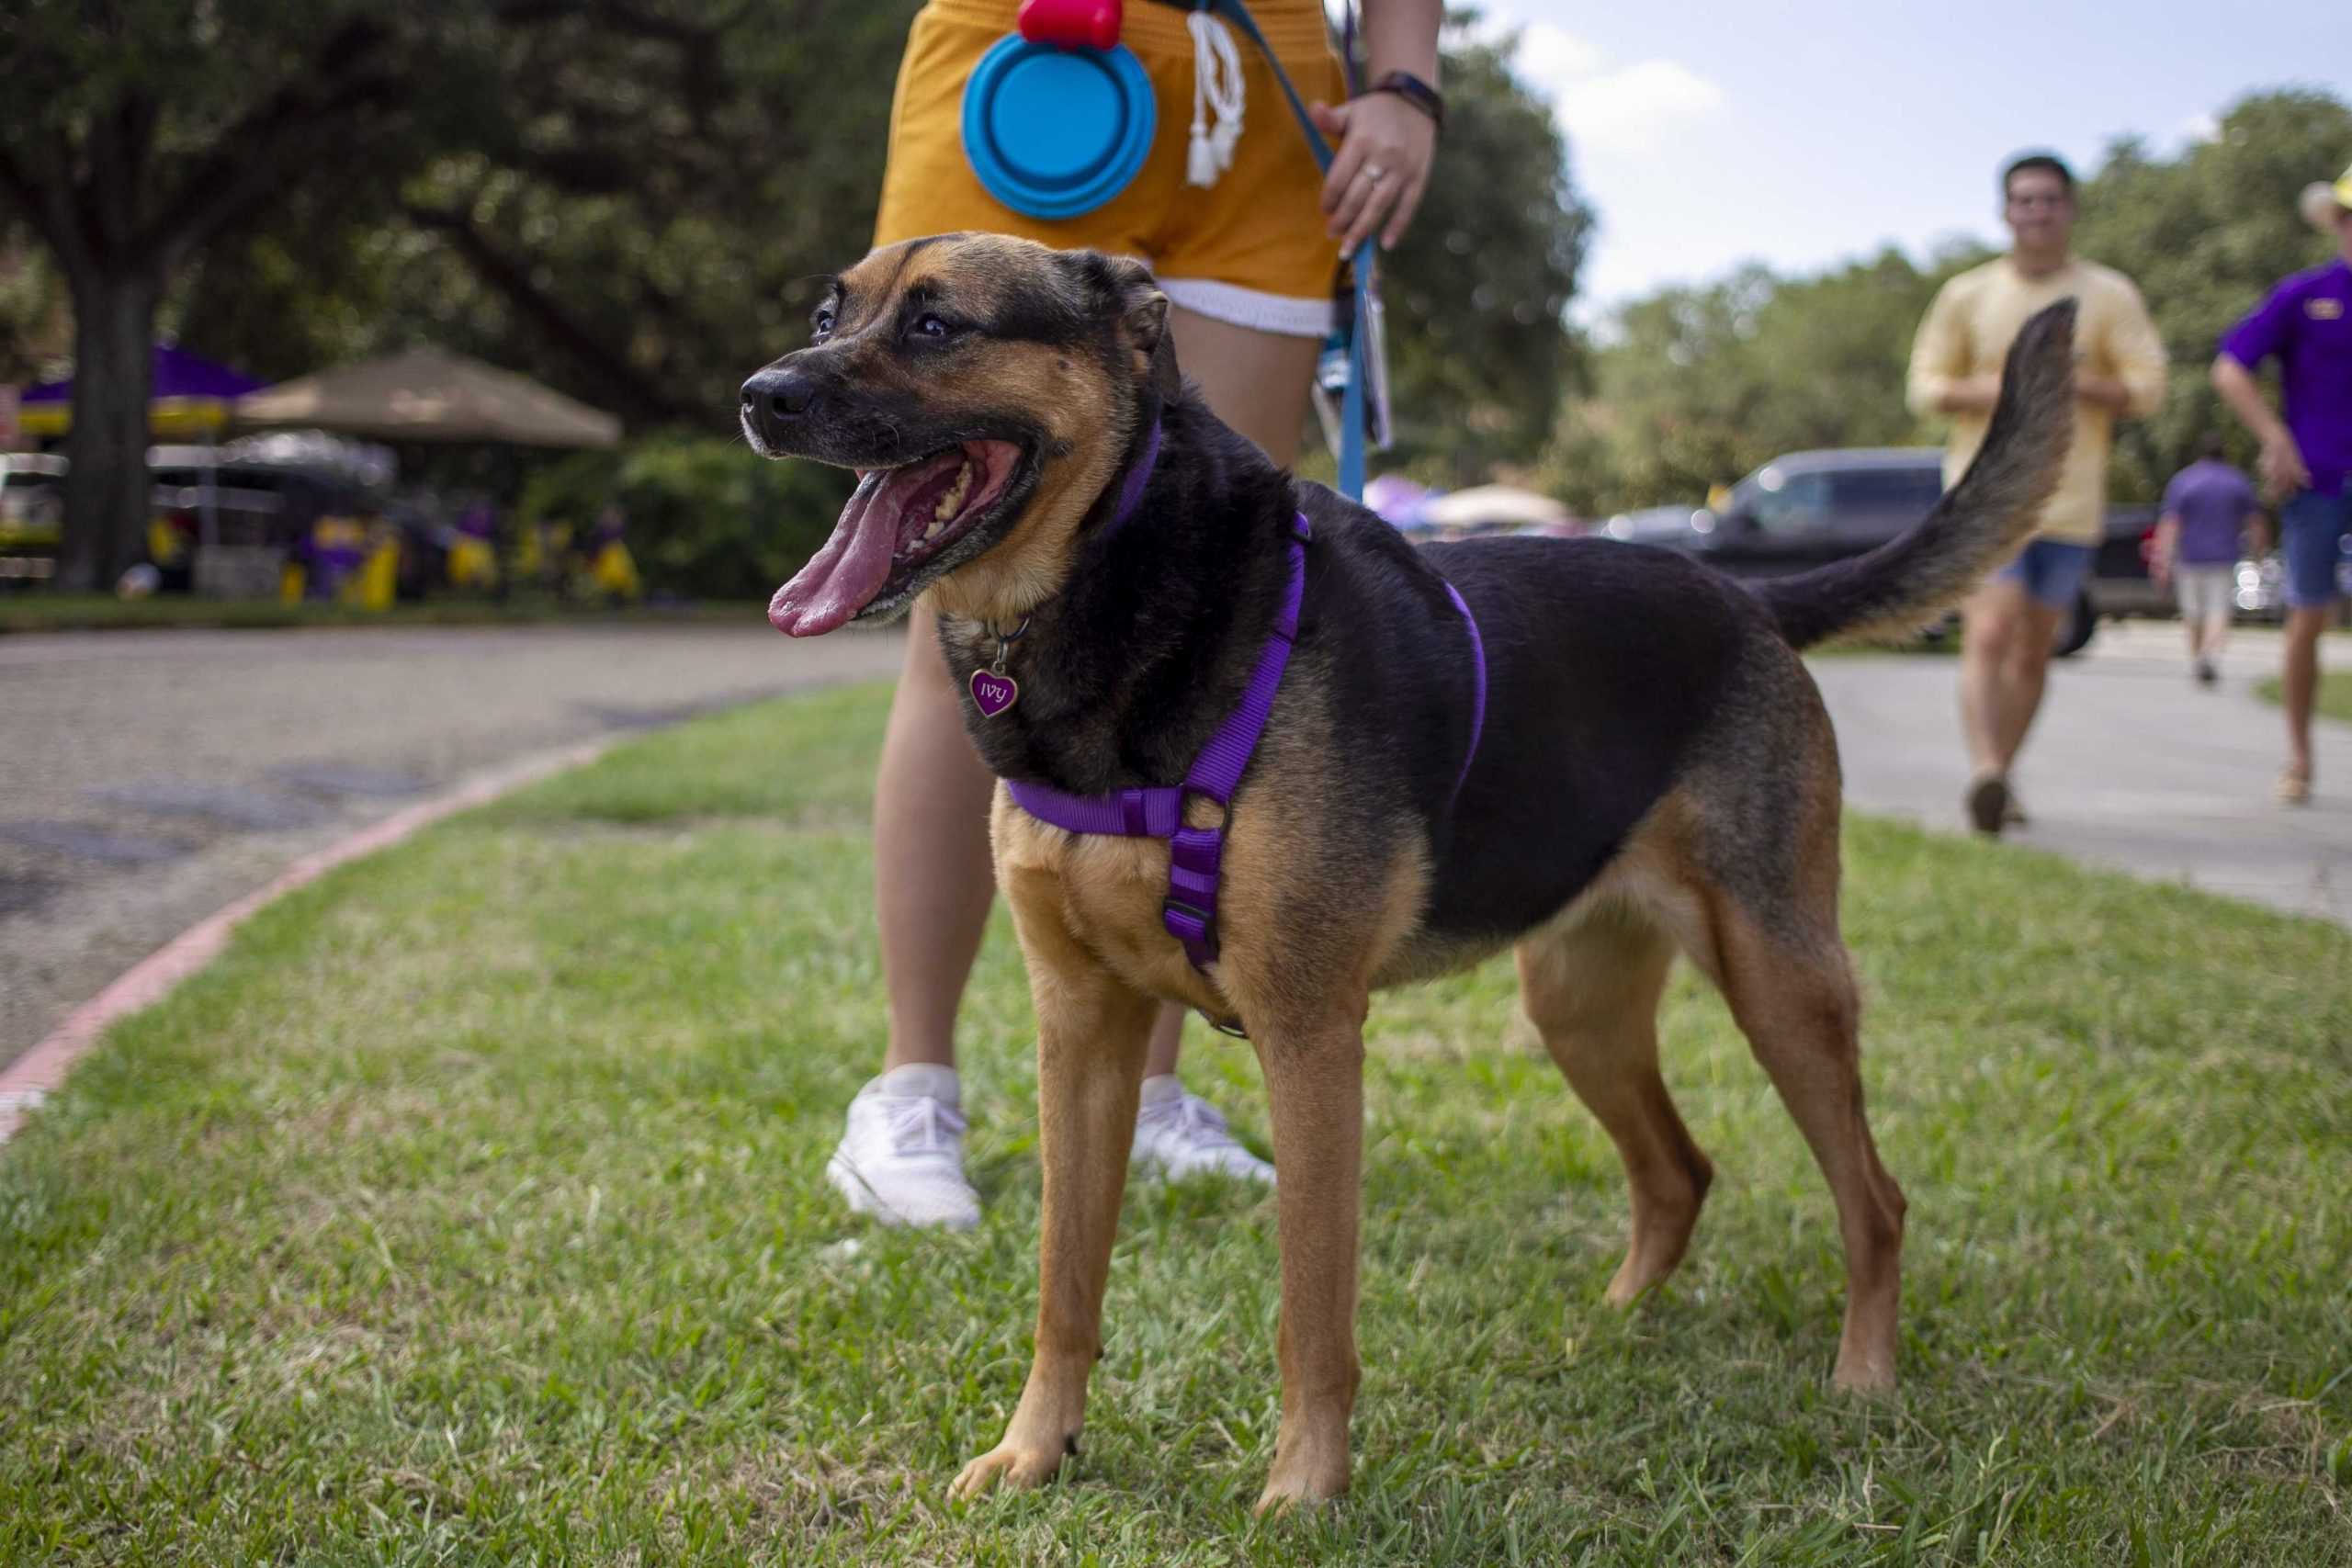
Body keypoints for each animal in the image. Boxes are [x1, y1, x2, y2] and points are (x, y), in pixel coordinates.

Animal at [738, 232, 2079, 1504]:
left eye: (935, 323)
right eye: (830, 312)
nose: (760, 396)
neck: (1120, 591)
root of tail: (1743, 593)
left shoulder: (1309, 1035)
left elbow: (1311, 1308)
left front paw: (1304, 1488)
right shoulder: (1080, 1026)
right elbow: (1065, 1284)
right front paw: (1034, 1452)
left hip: (1779, 980)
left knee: (1875, 1199)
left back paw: (1864, 1379)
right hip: (1578, 1005)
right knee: (1678, 1171)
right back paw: (1611, 1330)